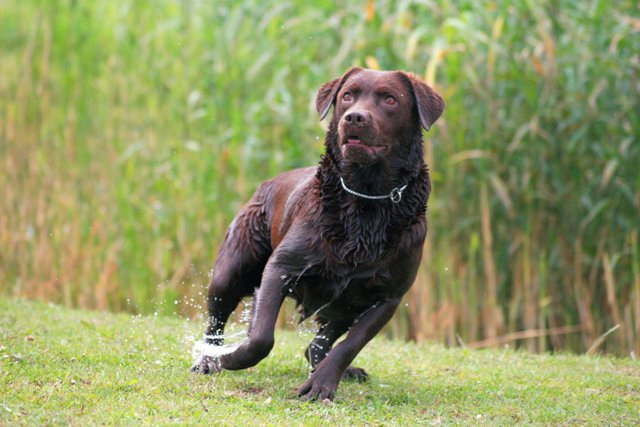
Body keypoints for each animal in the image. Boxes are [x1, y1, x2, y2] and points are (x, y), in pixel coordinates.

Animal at [190, 67, 444, 402]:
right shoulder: (281, 268)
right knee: (216, 322)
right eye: (347, 95)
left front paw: (322, 384)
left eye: (390, 99)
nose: (354, 117)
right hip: (232, 269)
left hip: (345, 303)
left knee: (319, 343)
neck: (366, 201)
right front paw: (234, 358)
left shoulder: (387, 297)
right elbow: (261, 337)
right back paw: (208, 359)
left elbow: (349, 345)